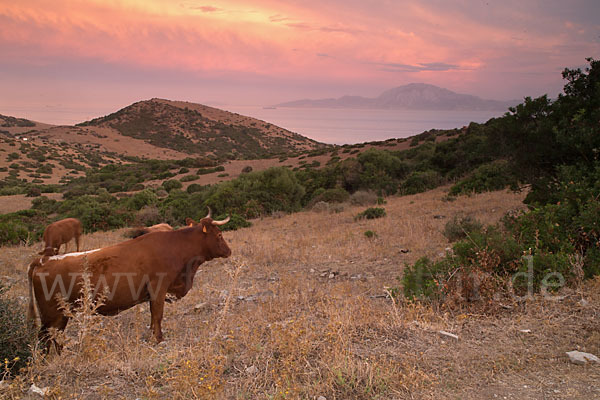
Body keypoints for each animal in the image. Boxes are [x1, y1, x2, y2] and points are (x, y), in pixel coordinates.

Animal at [28, 211, 231, 348]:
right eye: (219, 234)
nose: (229, 251)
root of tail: (43, 260)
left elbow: (153, 317)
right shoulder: (158, 290)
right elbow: (157, 315)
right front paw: (159, 338)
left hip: (60, 316)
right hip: (51, 315)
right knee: (45, 339)